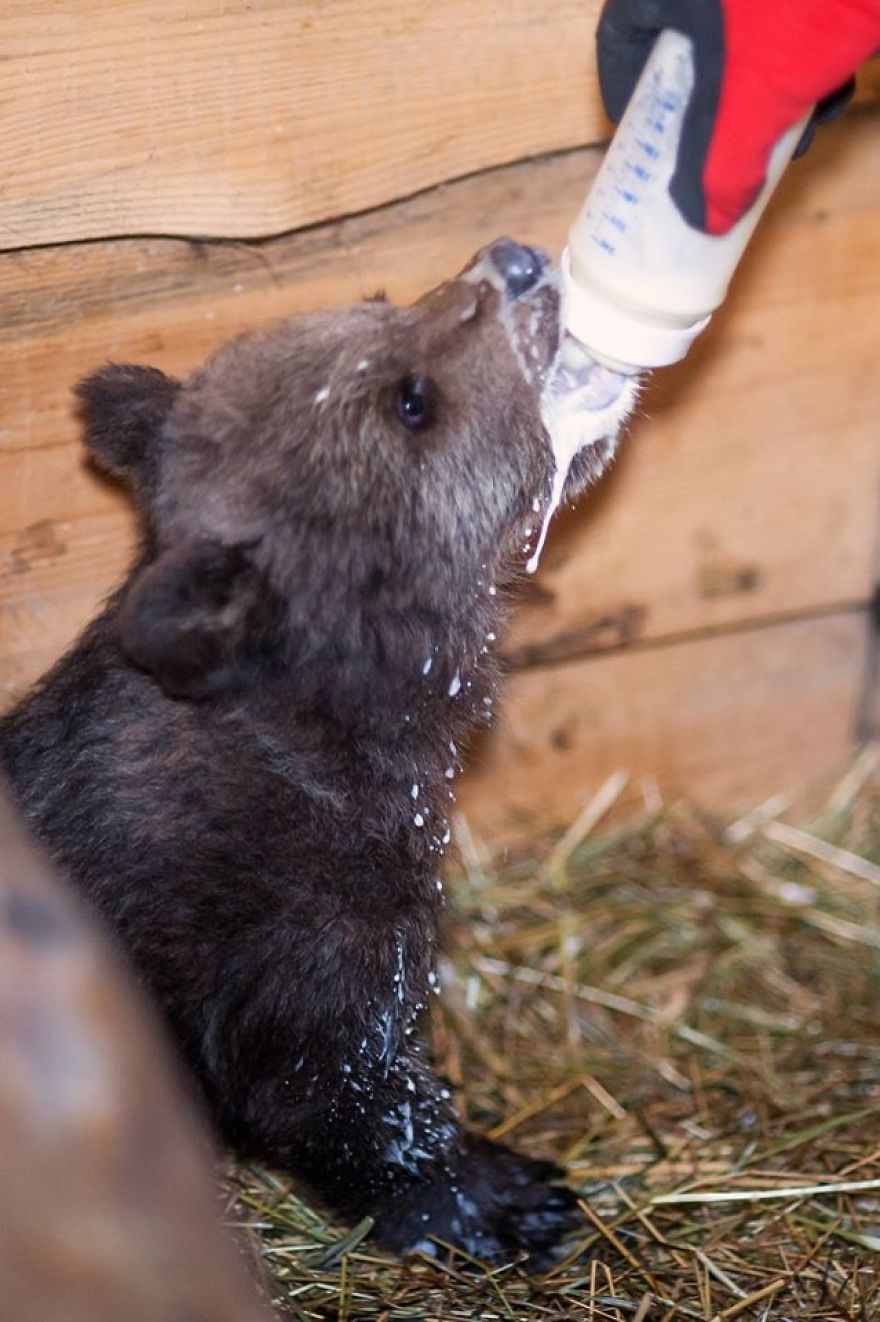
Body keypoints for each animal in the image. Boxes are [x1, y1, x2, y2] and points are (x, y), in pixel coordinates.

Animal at [0, 239, 636, 1269]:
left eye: (378, 300)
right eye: (411, 400)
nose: (517, 259)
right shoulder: (308, 948)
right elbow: (349, 1103)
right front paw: (495, 1201)